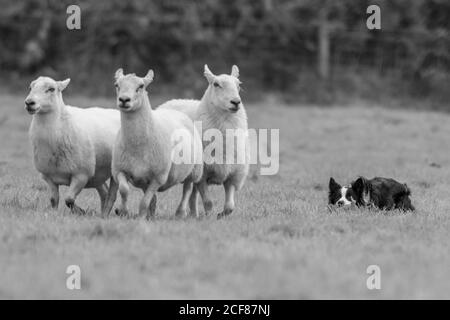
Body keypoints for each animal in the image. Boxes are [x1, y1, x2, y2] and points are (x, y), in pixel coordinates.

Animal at [25, 75, 120, 215]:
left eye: (51, 89)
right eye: (30, 87)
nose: (29, 103)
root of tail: (115, 111)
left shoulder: (81, 175)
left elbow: (69, 199)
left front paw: (80, 211)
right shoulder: (48, 176)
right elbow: (54, 200)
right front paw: (54, 214)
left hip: (113, 170)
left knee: (111, 196)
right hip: (97, 173)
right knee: (104, 193)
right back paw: (102, 215)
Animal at [111, 67, 203, 218]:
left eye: (141, 86)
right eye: (117, 85)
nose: (124, 100)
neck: (137, 145)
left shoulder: (158, 177)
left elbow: (144, 201)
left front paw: (141, 217)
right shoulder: (119, 170)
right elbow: (124, 189)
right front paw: (123, 210)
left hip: (195, 170)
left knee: (188, 189)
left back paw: (180, 212)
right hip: (144, 180)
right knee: (154, 198)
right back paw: (151, 215)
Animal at [158, 63, 250, 219]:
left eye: (238, 84)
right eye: (216, 84)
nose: (236, 102)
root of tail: (173, 100)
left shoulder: (233, 174)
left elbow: (230, 206)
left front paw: (221, 215)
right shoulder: (203, 175)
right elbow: (208, 202)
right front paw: (210, 217)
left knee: (191, 194)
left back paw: (193, 215)